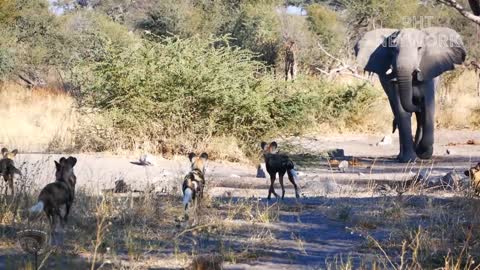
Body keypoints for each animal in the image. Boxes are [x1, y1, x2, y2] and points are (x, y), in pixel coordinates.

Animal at [354, 28, 464, 162]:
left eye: (419, 48)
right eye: (393, 50)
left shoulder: (428, 74)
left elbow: (428, 108)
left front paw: (423, 153)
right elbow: (402, 111)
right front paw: (409, 159)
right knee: (398, 112)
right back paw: (402, 156)